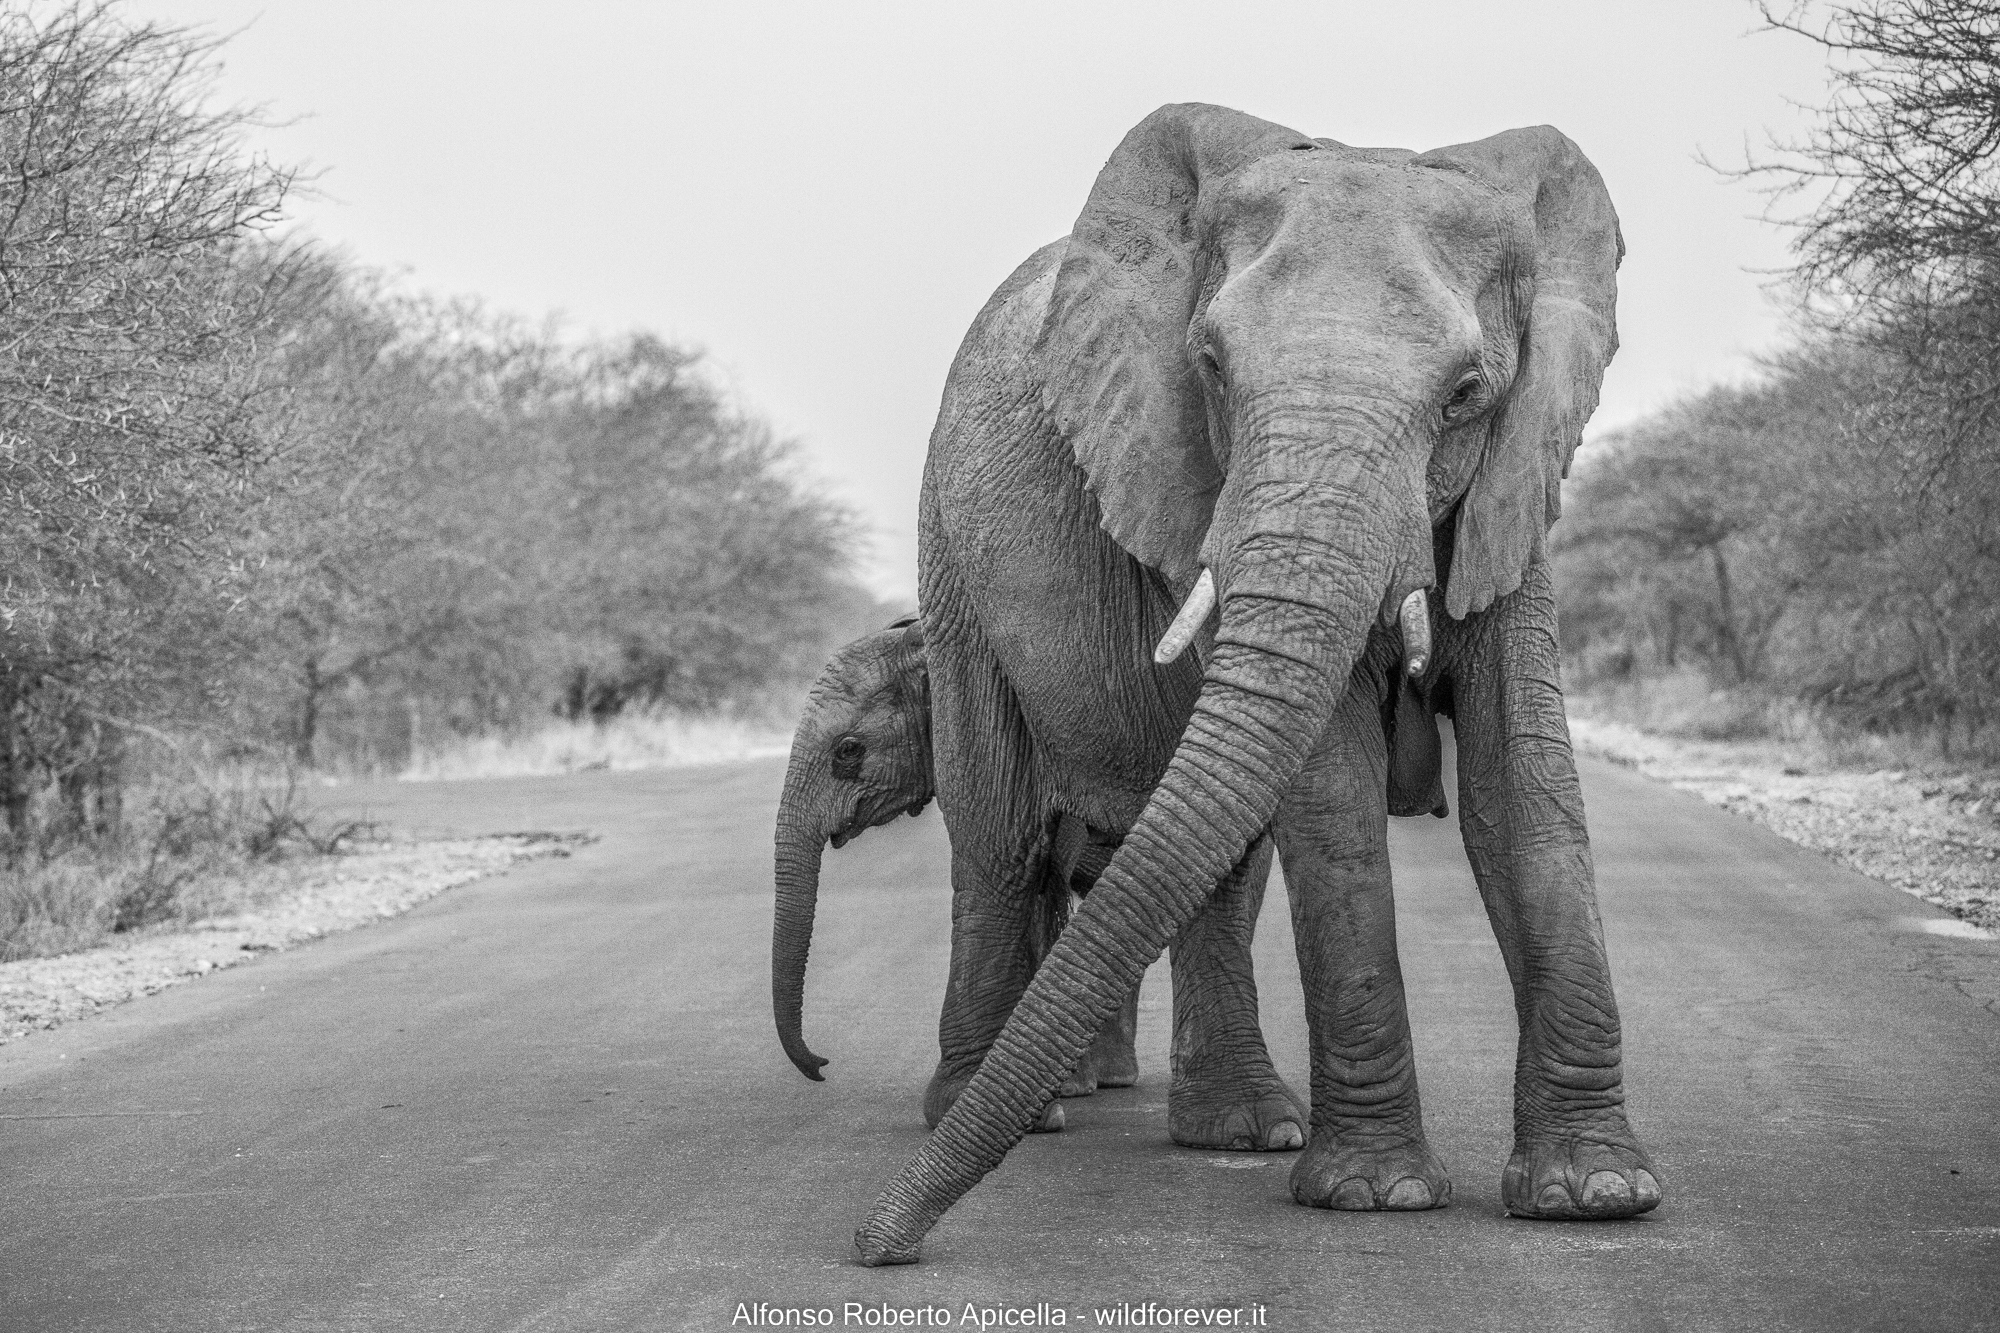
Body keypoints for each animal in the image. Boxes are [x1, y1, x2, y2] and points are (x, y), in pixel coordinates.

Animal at [851, 103, 1660, 1266]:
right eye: (1210, 366)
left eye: (1466, 395)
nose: (879, 1246)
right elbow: (1330, 796)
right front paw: (1374, 1196)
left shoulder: (1510, 488)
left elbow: (1524, 793)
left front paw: (1594, 1193)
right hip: (950, 554)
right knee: (998, 832)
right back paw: (1001, 1109)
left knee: (1212, 861)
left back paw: (1239, 1131)